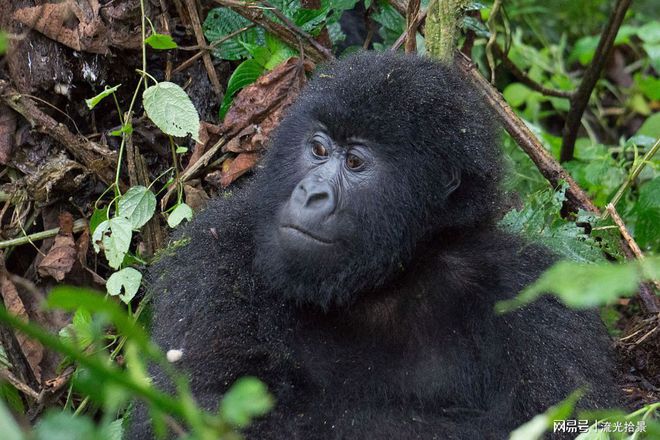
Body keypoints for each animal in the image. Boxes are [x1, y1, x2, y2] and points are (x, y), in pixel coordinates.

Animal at [129, 52, 620, 440]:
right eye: (318, 150)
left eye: (355, 162)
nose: (311, 193)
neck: (382, 284)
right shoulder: (211, 256)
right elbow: (204, 410)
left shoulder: (537, 296)